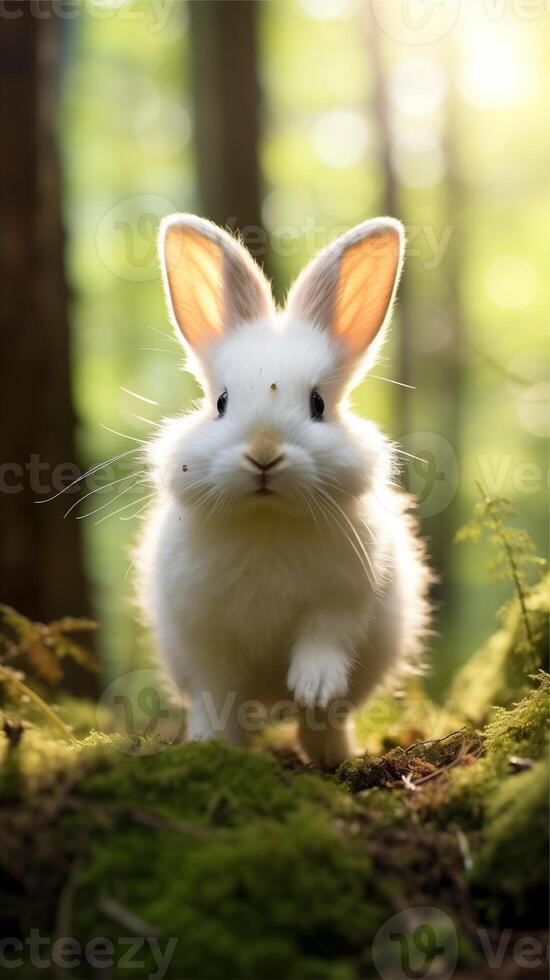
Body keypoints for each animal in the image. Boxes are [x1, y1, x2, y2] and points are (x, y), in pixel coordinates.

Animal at [137, 212, 432, 764]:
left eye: (318, 403)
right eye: (221, 401)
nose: (264, 454)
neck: (267, 517)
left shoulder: (341, 600)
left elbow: (324, 643)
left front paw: (312, 687)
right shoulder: (203, 633)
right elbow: (216, 693)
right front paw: (211, 748)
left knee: (322, 725)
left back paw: (335, 756)